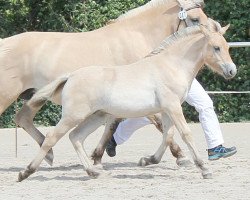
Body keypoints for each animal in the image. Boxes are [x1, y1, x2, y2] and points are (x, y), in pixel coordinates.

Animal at [0, 0, 205, 166]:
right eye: (195, 19)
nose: (208, 36)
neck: (136, 37)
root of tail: (4, 43)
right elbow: (161, 126)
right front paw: (180, 156)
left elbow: (111, 126)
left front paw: (98, 157)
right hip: (7, 95)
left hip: (34, 96)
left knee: (23, 118)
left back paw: (49, 153)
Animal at [17, 24, 236, 182]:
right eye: (216, 47)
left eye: (227, 47)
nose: (232, 71)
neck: (170, 65)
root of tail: (70, 76)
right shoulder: (173, 107)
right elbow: (186, 135)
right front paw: (204, 169)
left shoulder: (166, 110)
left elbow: (167, 135)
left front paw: (149, 160)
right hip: (73, 115)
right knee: (52, 137)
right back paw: (25, 172)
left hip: (96, 116)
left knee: (76, 137)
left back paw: (94, 172)